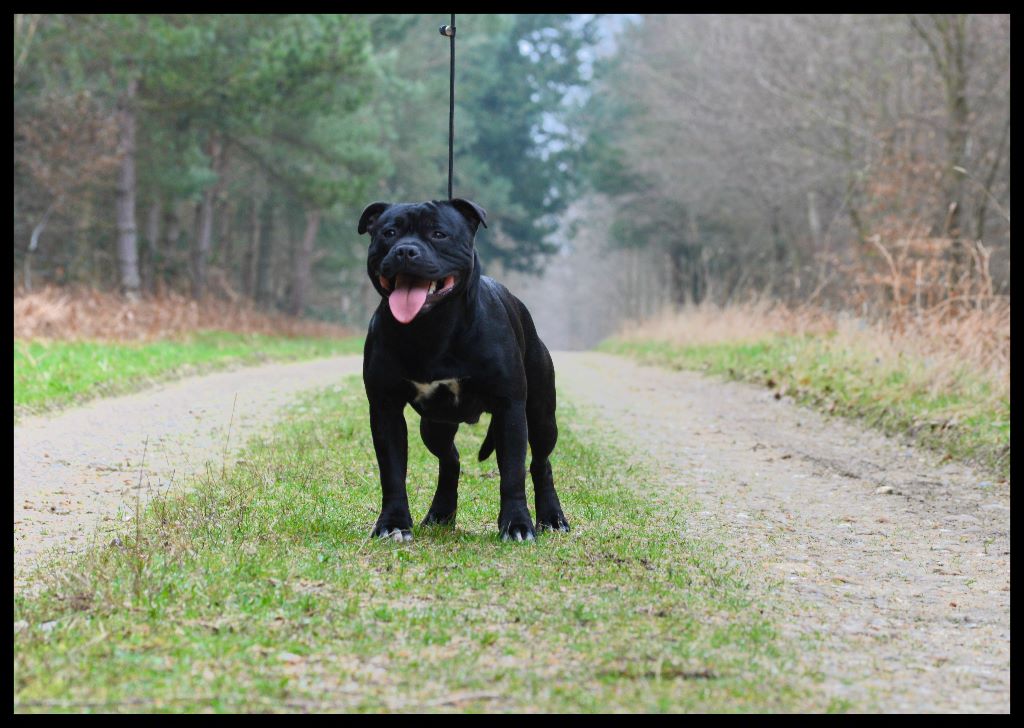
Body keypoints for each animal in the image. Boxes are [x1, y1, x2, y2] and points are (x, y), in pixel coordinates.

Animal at [358, 197, 569, 540]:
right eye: (388, 233)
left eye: (439, 234)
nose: (405, 250)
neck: (431, 328)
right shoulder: (385, 409)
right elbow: (392, 473)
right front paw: (393, 524)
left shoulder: (510, 407)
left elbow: (513, 473)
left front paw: (517, 524)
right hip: (435, 425)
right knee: (450, 459)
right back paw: (440, 514)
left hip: (541, 416)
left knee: (540, 462)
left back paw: (552, 518)